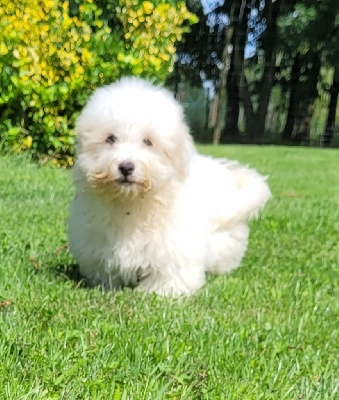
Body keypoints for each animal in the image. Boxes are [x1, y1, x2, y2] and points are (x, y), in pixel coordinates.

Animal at [68, 77, 270, 296]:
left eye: (148, 141)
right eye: (110, 138)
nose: (126, 167)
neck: (132, 202)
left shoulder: (175, 245)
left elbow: (170, 273)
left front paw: (161, 292)